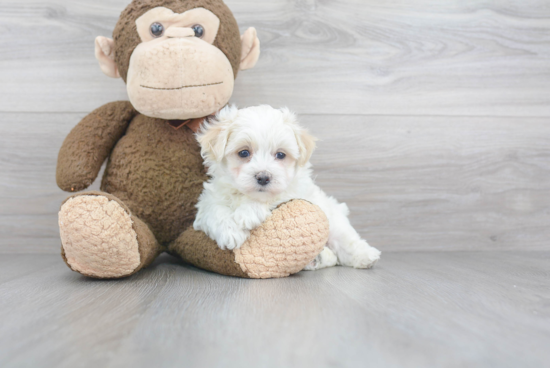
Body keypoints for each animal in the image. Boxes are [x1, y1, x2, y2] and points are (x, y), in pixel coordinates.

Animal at [195, 105, 384, 268]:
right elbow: (214, 210)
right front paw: (231, 232)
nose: (263, 177)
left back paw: (366, 256)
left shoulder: (294, 191)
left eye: (280, 155)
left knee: (345, 240)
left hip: (333, 220)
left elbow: (275, 197)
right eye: (244, 153)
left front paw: (249, 212)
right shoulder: (209, 199)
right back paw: (319, 258)